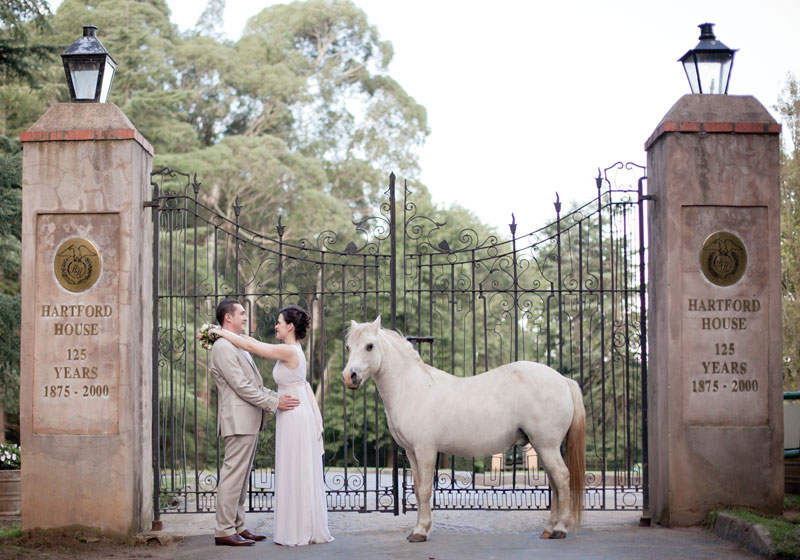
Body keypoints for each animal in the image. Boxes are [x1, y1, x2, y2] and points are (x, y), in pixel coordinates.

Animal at [340, 318, 584, 540]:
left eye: (370, 346)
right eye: (348, 347)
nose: (349, 377)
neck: (413, 388)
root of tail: (563, 380)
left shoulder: (426, 450)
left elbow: (425, 490)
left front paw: (421, 532)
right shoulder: (411, 452)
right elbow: (418, 489)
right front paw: (418, 528)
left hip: (547, 445)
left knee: (562, 478)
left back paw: (560, 529)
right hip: (542, 447)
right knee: (554, 482)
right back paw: (548, 529)